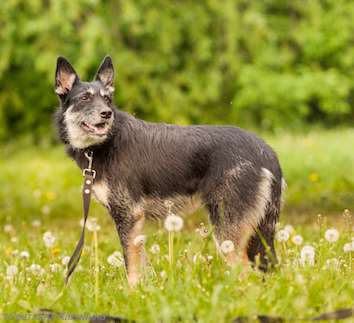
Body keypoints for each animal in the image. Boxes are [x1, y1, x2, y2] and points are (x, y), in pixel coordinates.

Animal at [54, 55, 284, 286]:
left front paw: (132, 291)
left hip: (227, 232)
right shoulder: (134, 222)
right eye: (85, 98)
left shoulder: (128, 216)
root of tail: (267, 152)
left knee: (245, 274)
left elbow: (132, 265)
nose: (107, 114)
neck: (105, 144)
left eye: (108, 99)